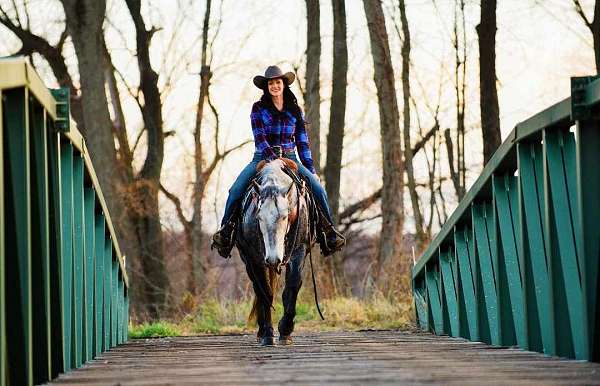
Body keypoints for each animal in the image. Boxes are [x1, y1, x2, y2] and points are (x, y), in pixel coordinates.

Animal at [234, 158, 312, 346]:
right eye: (259, 217)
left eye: (285, 216)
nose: (273, 259)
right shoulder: (254, 257)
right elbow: (266, 291)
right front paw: (268, 334)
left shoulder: (299, 250)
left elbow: (292, 285)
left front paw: (285, 330)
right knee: (258, 288)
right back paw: (261, 331)